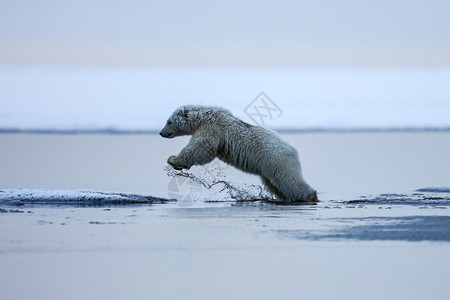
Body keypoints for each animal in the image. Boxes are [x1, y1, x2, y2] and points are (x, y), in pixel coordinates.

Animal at [160, 105, 318, 202]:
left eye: (169, 121)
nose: (161, 133)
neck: (204, 116)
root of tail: (292, 149)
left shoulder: (212, 127)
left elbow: (202, 147)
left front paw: (173, 160)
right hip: (268, 168)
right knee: (276, 185)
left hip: (275, 159)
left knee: (289, 180)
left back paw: (310, 196)